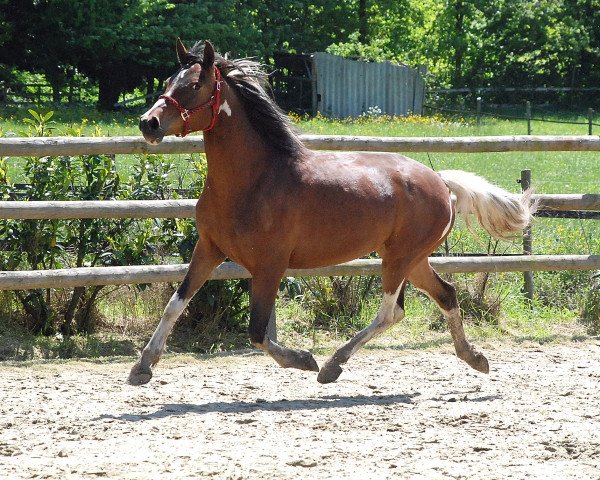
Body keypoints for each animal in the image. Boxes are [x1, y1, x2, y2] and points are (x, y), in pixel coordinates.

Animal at [129, 40, 532, 386]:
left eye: (195, 84)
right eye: (169, 80)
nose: (148, 123)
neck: (255, 180)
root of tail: (441, 182)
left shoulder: (269, 265)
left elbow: (257, 332)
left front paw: (304, 360)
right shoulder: (209, 249)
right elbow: (175, 303)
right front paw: (142, 367)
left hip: (399, 258)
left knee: (391, 311)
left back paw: (332, 365)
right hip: (412, 258)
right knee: (445, 295)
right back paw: (474, 357)